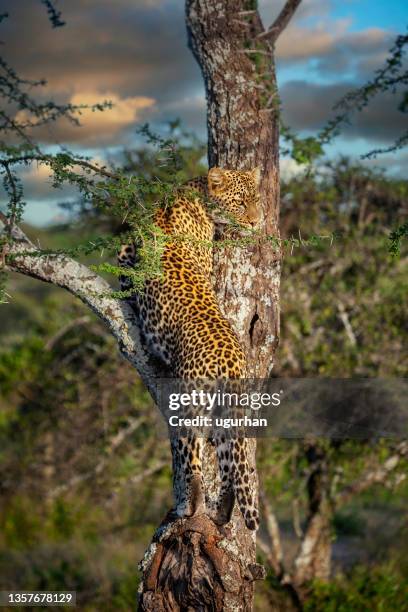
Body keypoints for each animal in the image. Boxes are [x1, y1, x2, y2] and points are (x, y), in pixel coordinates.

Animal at [118, 167, 262, 532]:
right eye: (242, 202)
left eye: (257, 199)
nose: (257, 221)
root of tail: (229, 358)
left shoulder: (126, 250)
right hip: (229, 409)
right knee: (228, 466)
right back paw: (221, 513)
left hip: (189, 400)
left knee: (193, 460)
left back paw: (190, 506)